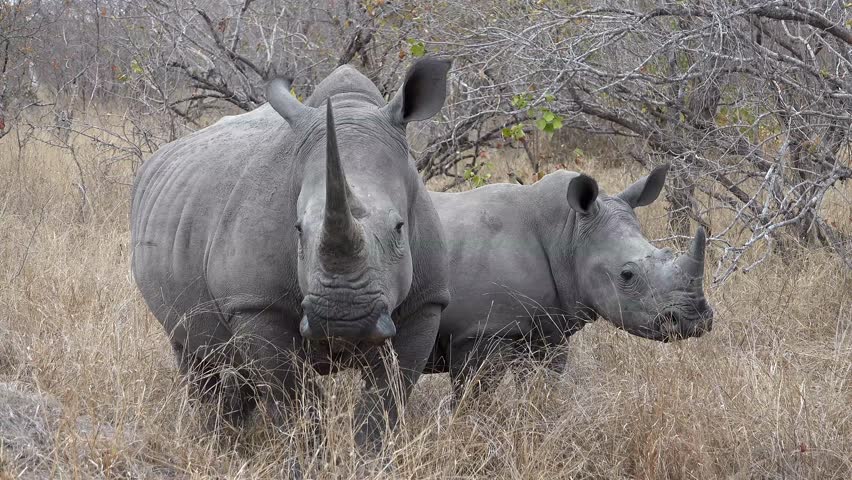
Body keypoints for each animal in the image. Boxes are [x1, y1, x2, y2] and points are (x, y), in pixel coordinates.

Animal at [130, 59, 452, 446]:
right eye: (297, 229)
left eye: (400, 227)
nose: (342, 321)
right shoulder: (256, 302)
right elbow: (294, 397)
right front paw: (310, 454)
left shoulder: (427, 300)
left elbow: (387, 397)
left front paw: (370, 455)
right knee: (195, 353)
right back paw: (214, 440)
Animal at [424, 167, 712, 404]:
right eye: (627, 274)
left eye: (666, 253)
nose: (696, 320)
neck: (568, 233)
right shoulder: (481, 330)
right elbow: (475, 397)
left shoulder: (548, 327)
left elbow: (542, 385)